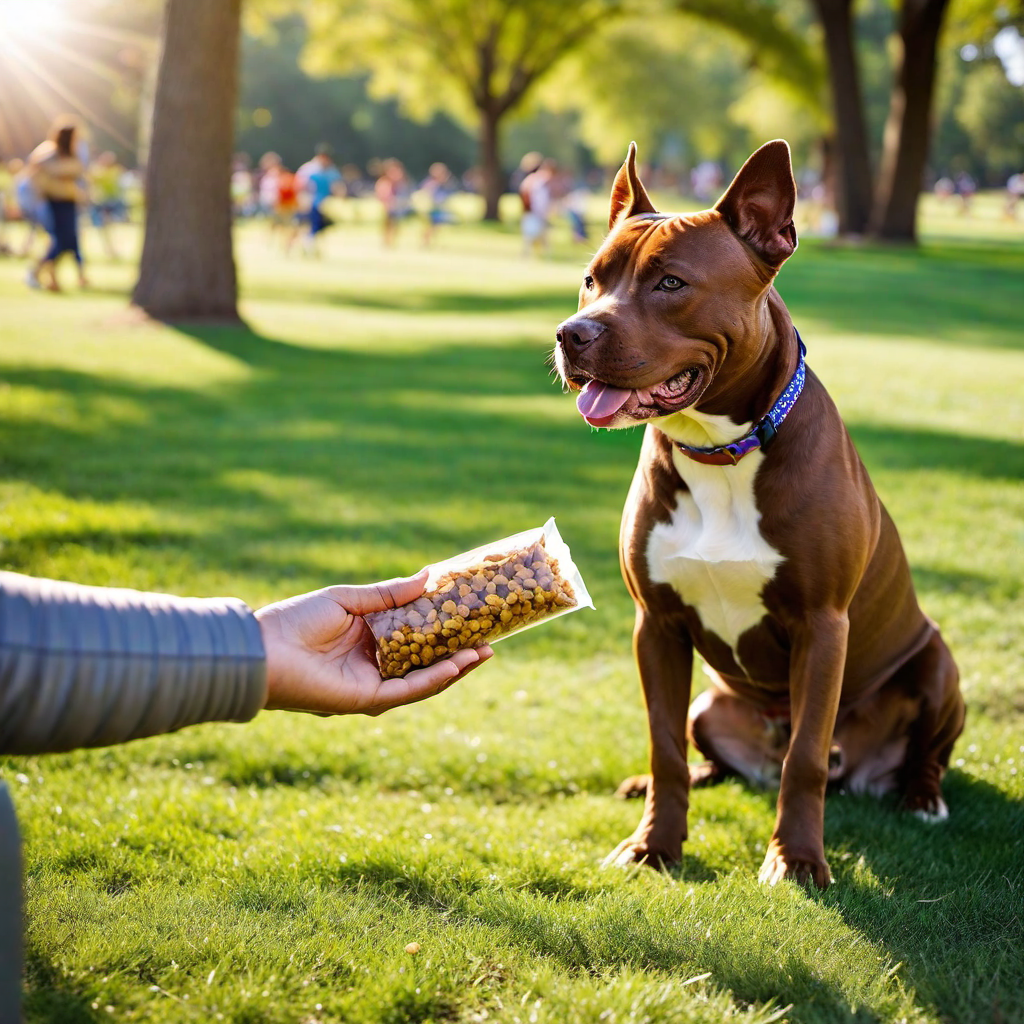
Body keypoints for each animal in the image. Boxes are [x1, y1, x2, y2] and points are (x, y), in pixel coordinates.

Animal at [557, 138, 962, 888]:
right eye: (592, 279)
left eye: (670, 283)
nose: (573, 334)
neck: (721, 452)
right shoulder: (657, 625)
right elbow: (663, 747)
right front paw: (653, 845)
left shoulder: (822, 627)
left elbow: (804, 759)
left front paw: (797, 860)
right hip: (709, 704)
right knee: (704, 755)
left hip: (937, 665)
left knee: (911, 754)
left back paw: (922, 798)